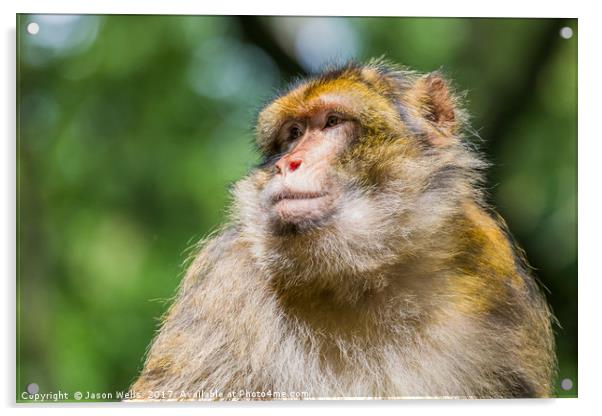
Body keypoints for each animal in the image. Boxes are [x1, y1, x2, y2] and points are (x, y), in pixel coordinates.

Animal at [130, 59, 552, 400]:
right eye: (293, 133)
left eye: (332, 122)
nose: (288, 163)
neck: (362, 276)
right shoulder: (225, 279)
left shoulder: (492, 273)